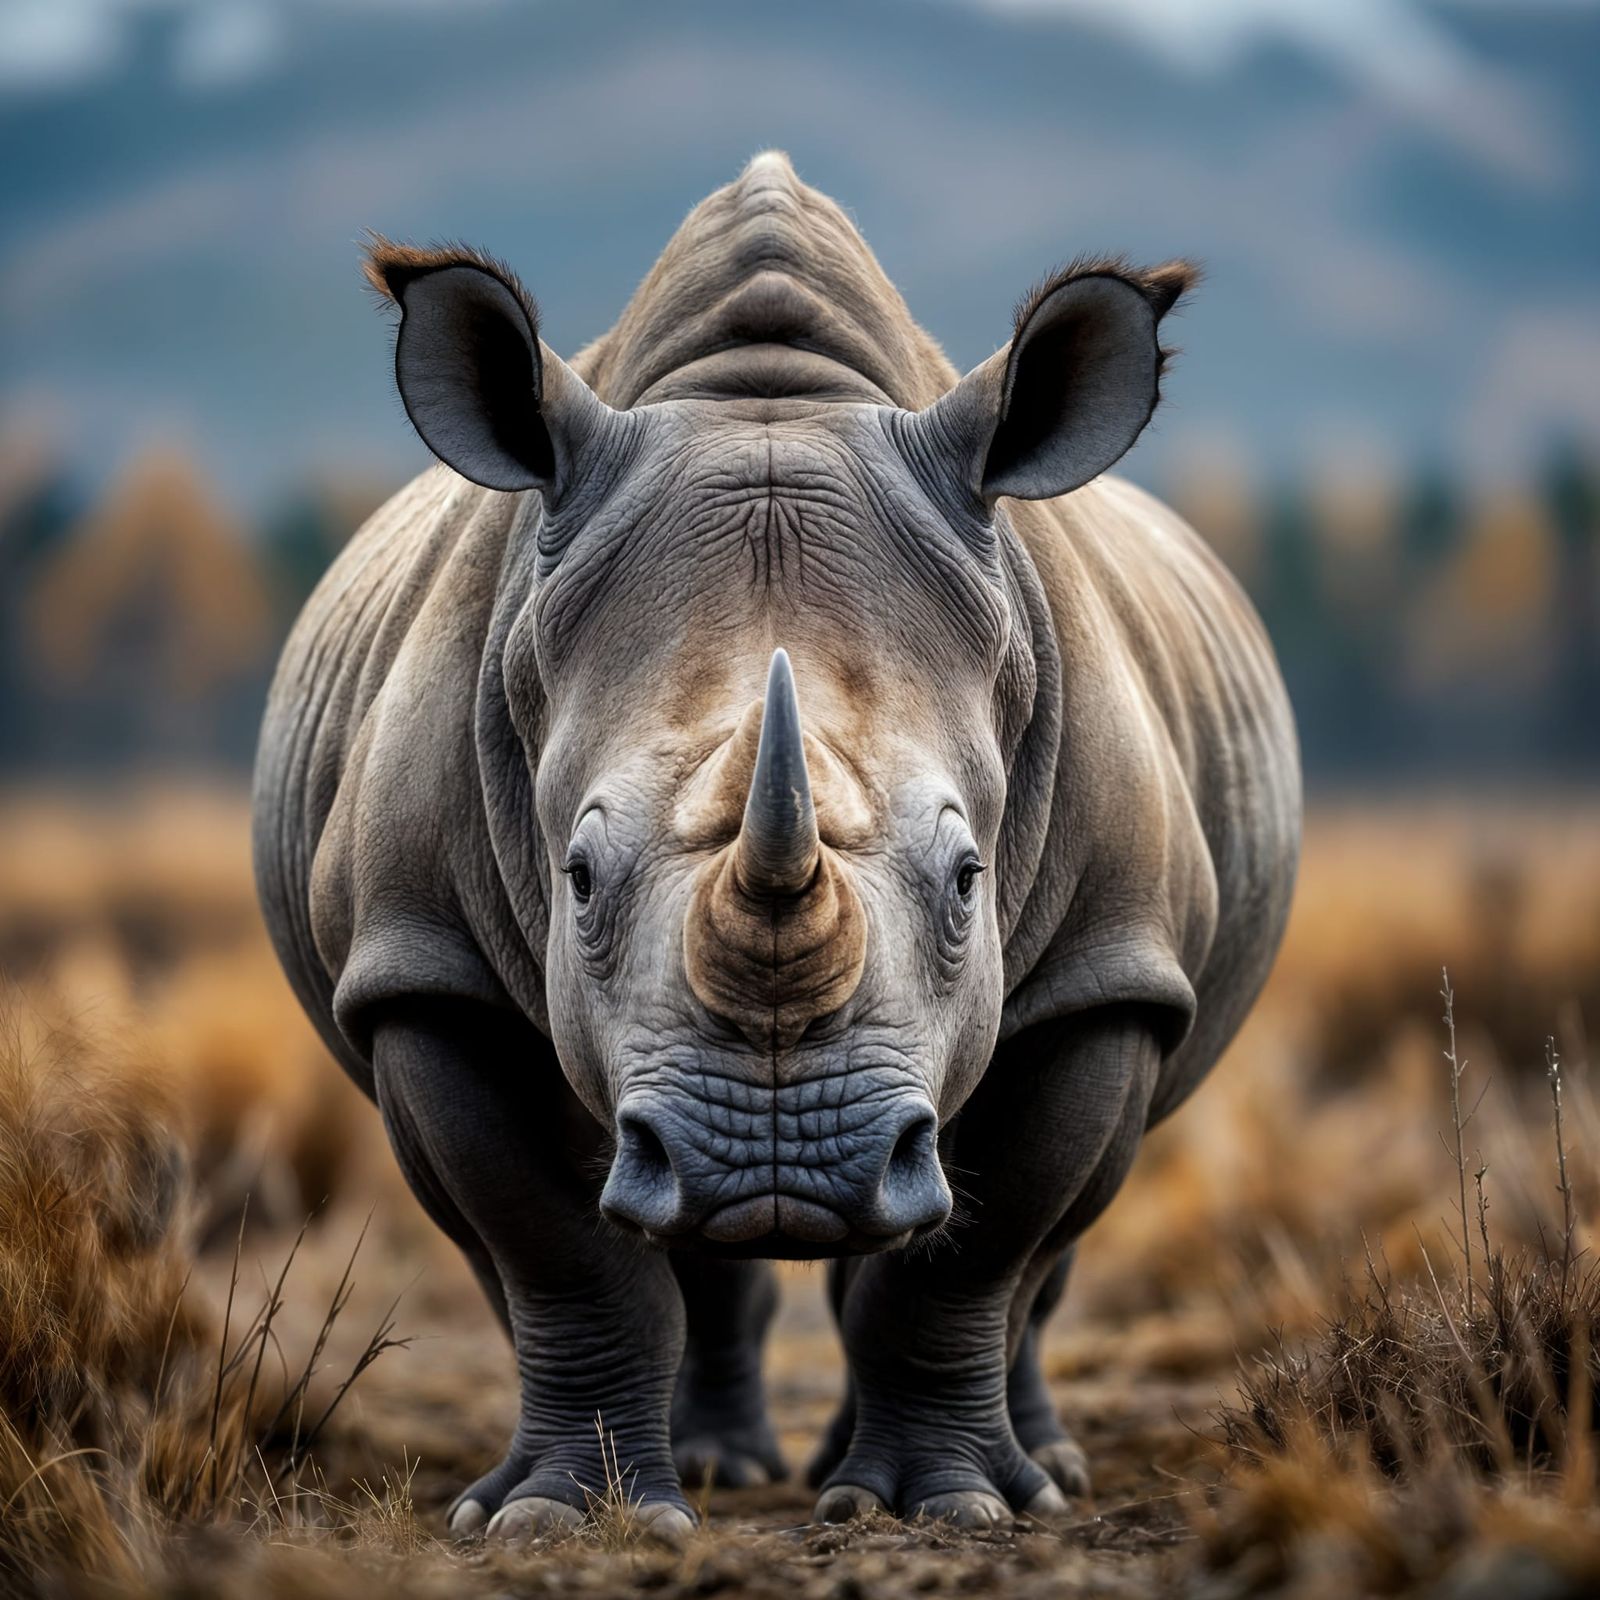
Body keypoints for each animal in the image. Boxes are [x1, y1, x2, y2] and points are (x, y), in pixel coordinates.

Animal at [253, 151, 1299, 1541]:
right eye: (576, 877)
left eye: (968, 878)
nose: (778, 1155)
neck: (768, 387)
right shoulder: (425, 965)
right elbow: (557, 1248)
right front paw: (556, 1519)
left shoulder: (1105, 968)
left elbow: (976, 1253)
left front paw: (948, 1511)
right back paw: (713, 1470)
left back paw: (1028, 1473)